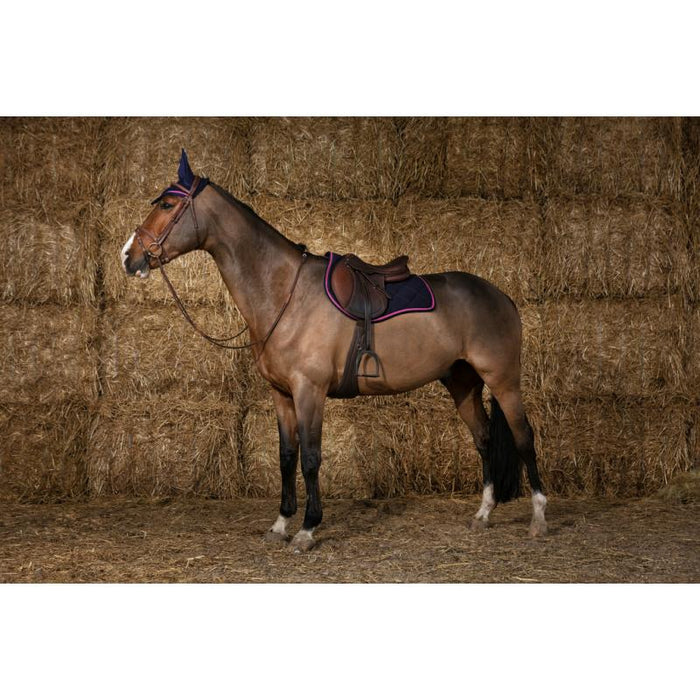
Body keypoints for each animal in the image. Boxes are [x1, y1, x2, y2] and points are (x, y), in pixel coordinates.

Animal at [121, 150, 547, 552]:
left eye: (167, 205)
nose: (128, 256)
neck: (285, 293)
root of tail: (502, 295)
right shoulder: (282, 395)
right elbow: (286, 456)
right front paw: (280, 524)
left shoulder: (310, 391)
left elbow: (311, 459)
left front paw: (307, 529)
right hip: (463, 383)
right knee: (484, 440)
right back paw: (483, 514)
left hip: (504, 380)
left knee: (524, 438)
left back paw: (539, 518)